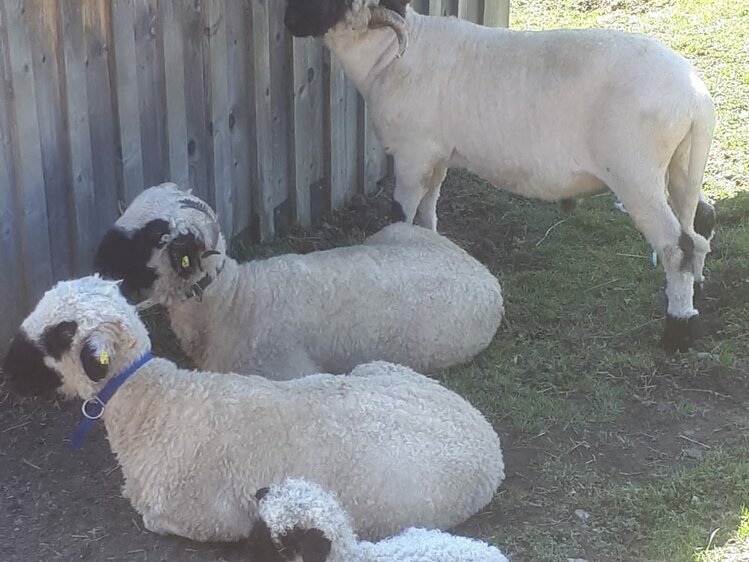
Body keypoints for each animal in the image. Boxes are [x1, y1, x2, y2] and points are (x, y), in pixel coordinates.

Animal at [1, 276, 502, 544]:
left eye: (62, 333)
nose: (8, 371)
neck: (156, 406)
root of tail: (489, 441)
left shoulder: (202, 521)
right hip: (378, 368)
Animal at [284, 0, 716, 350]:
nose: (289, 21)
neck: (389, 56)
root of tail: (696, 97)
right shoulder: (437, 155)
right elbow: (428, 210)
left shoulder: (412, 153)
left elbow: (401, 214)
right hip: (681, 165)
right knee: (699, 226)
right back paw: (697, 291)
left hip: (635, 173)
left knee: (676, 245)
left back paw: (678, 330)